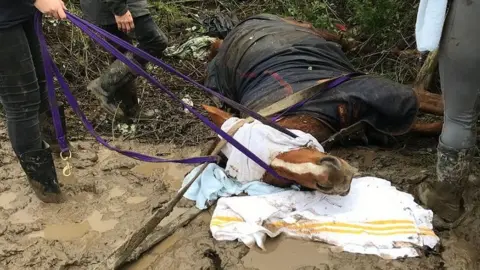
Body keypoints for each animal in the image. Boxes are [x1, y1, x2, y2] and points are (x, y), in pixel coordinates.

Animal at [197, 13, 444, 196]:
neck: (307, 110)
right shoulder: (379, 121)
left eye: (273, 134)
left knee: (349, 41)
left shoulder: (394, 95)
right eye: (280, 180)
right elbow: (430, 127)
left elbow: (440, 107)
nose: (335, 176)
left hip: (307, 27)